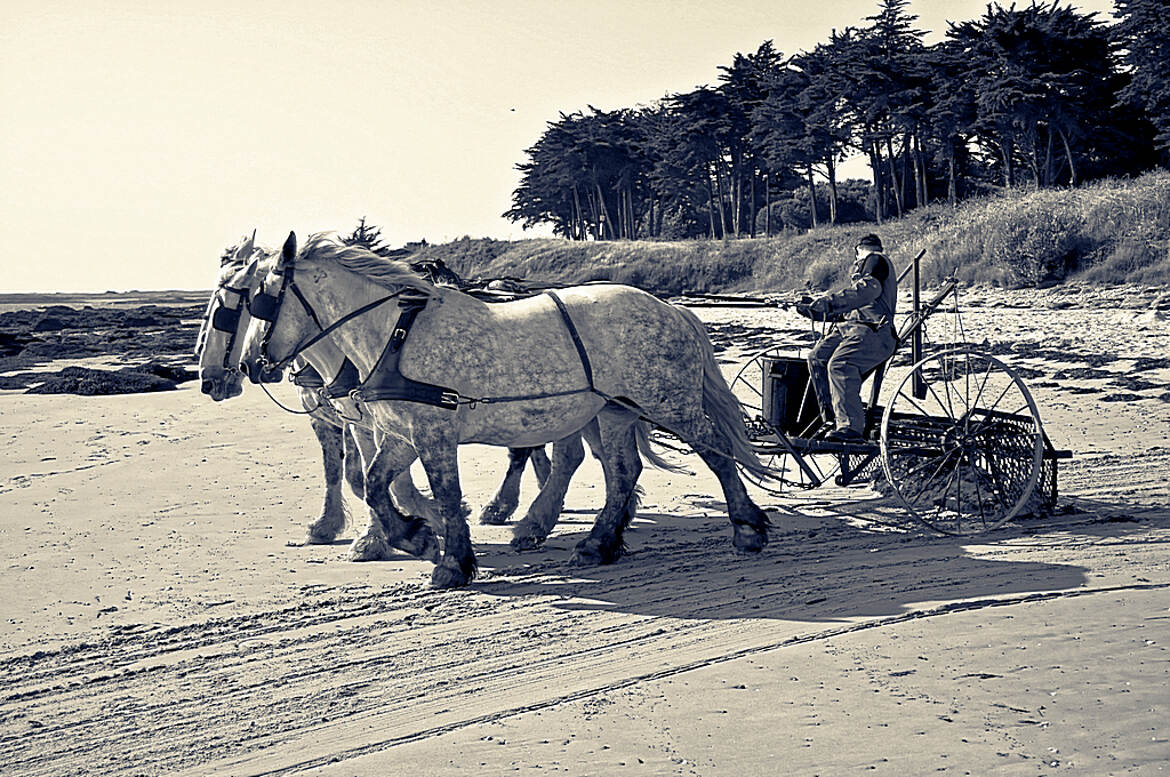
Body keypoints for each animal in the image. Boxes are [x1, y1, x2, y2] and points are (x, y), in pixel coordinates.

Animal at [236, 230, 767, 589]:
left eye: (261, 301)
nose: (247, 364)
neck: (395, 335)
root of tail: (670, 307)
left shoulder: (434, 433)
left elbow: (446, 495)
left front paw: (453, 563)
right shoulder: (404, 434)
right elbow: (375, 484)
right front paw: (415, 537)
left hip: (669, 402)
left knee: (715, 452)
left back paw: (747, 528)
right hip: (617, 411)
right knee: (622, 472)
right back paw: (597, 544)